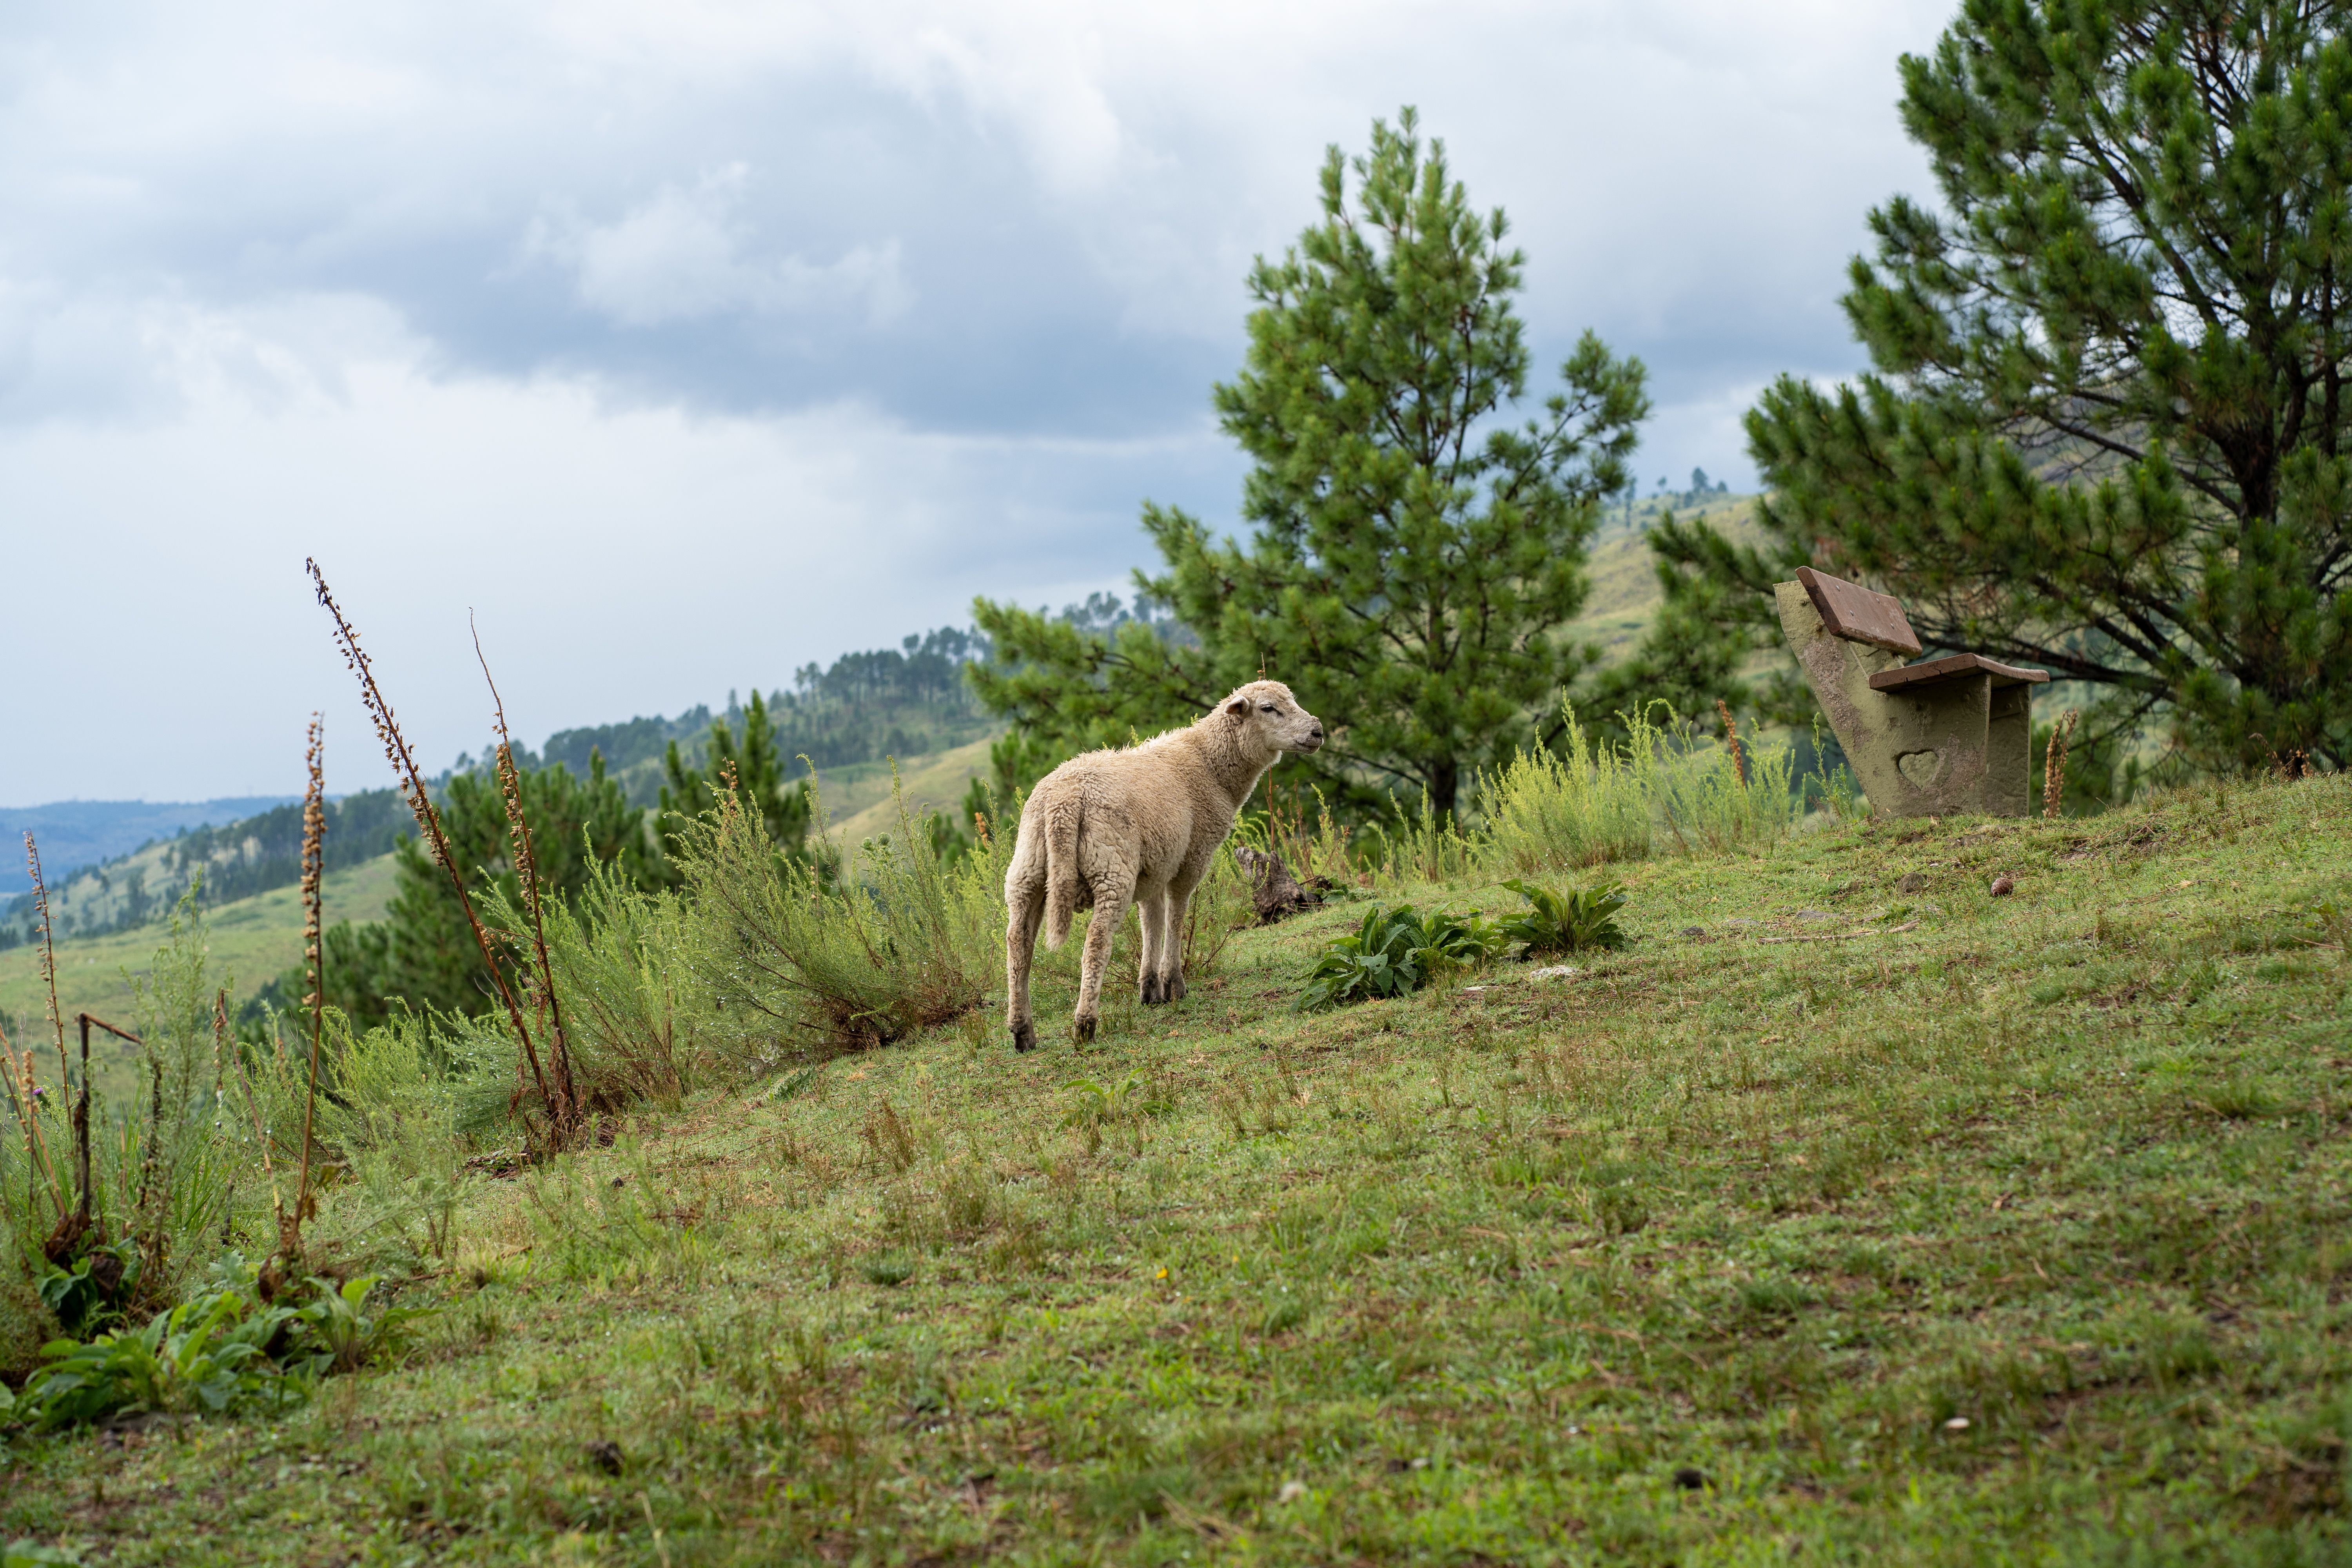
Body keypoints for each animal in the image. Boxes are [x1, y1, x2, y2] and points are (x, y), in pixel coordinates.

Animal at [1003, 680, 1325, 1049]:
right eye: (1268, 708)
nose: (1317, 731)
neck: (1210, 766)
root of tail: (1063, 803)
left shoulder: (1154, 867)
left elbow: (1152, 921)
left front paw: (1149, 989)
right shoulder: (1192, 857)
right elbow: (1176, 917)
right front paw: (1173, 984)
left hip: (1027, 870)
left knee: (1018, 944)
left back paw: (1022, 1031)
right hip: (1111, 869)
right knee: (1096, 940)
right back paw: (1085, 1024)